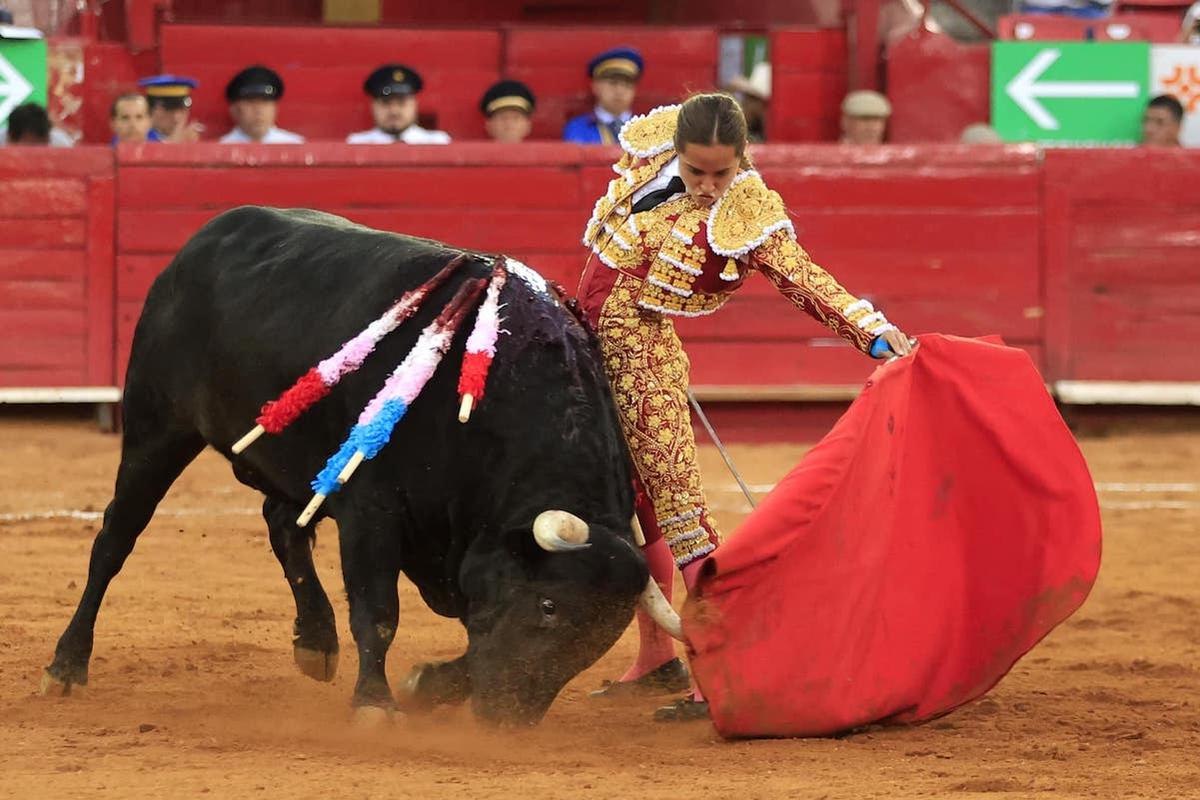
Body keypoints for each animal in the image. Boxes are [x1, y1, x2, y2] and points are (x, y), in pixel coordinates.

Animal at [42, 208, 681, 724]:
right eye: (549, 606)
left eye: (603, 636)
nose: (508, 718)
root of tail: (200, 242)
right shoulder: (372, 511)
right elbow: (379, 612)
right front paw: (376, 704)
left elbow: (473, 634)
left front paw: (428, 684)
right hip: (157, 430)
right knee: (116, 536)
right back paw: (66, 666)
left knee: (283, 524)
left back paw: (315, 641)